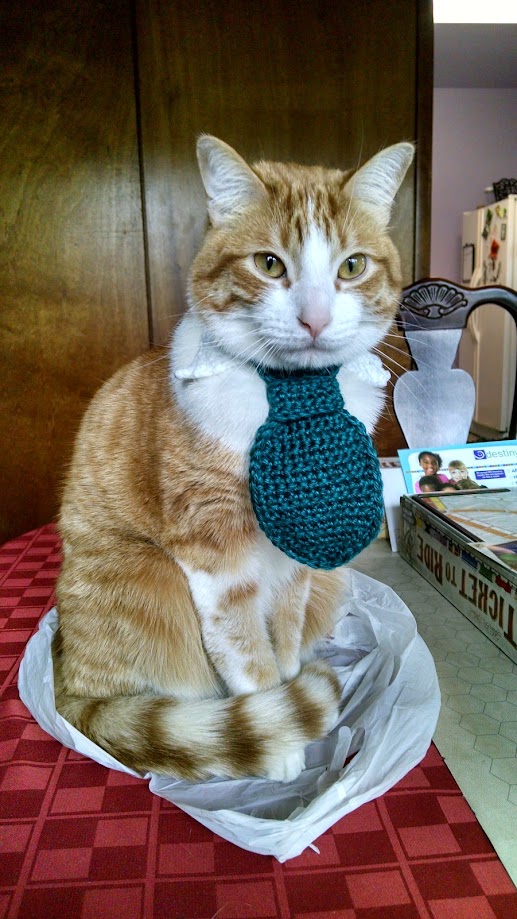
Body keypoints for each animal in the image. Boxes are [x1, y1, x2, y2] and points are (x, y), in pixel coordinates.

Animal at [54, 137, 414, 784]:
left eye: (352, 266)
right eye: (269, 264)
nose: (315, 318)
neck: (288, 395)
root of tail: (69, 682)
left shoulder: (302, 551)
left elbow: (285, 633)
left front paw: (293, 687)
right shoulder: (214, 554)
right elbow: (246, 650)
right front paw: (282, 737)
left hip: (331, 578)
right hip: (148, 576)